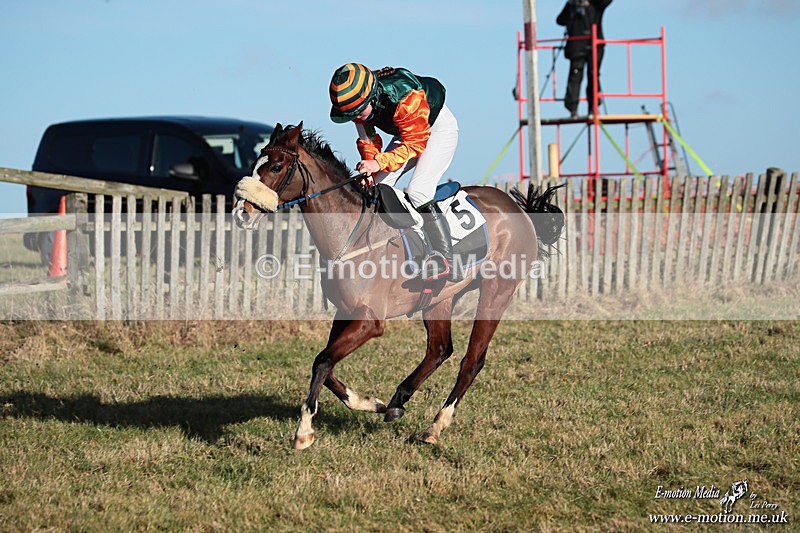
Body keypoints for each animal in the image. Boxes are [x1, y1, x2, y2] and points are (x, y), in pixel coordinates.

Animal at [234, 122, 563, 449]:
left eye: (276, 166)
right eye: (256, 163)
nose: (241, 213)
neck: (351, 232)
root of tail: (519, 209)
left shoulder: (369, 321)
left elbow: (323, 361)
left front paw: (303, 431)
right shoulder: (346, 311)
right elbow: (326, 366)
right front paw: (370, 402)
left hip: (497, 292)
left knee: (472, 361)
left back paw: (435, 426)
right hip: (439, 298)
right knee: (439, 349)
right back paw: (397, 402)